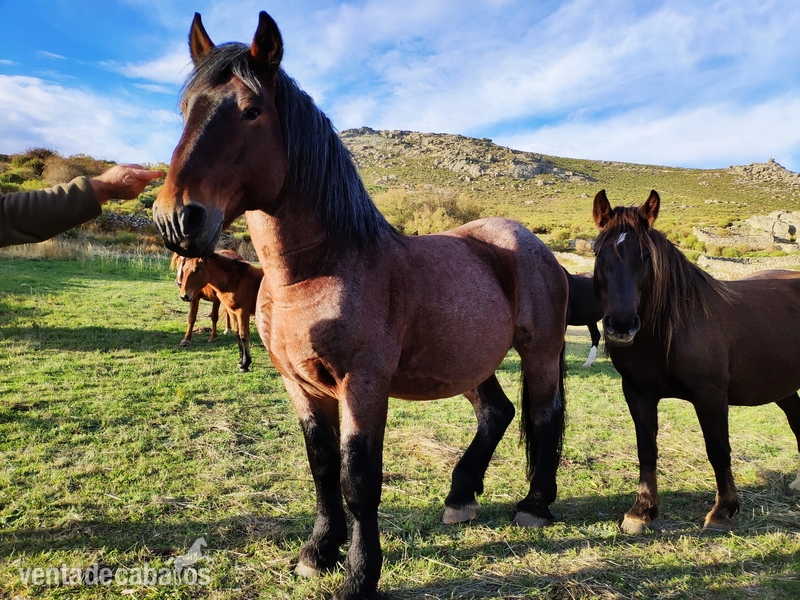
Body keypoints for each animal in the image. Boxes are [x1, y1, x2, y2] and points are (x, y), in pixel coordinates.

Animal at [152, 12, 568, 600]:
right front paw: (316, 554)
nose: (176, 219)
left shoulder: (363, 384)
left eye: (252, 111)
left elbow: (359, 480)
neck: (317, 271)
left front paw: (358, 575)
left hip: (539, 354)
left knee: (544, 416)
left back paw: (534, 505)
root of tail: (531, 244)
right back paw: (460, 496)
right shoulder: (301, 384)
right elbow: (323, 468)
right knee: (497, 412)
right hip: (468, 361)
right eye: (186, 109)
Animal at [591, 189, 800, 534]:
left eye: (645, 257)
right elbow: (646, 449)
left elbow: (718, 449)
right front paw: (642, 511)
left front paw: (723, 511)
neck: (671, 328)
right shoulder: (637, 394)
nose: (621, 325)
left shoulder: (710, 397)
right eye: (599, 254)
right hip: (783, 389)